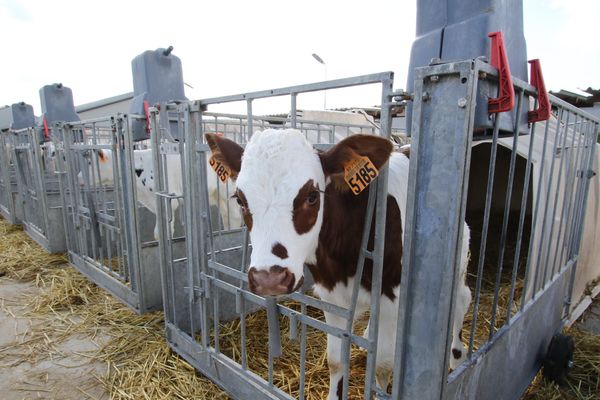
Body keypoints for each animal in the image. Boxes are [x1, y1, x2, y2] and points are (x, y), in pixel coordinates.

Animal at [206, 130, 474, 398]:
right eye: (240, 200)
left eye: (312, 197)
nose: (269, 279)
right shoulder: (330, 295)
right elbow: (336, 360)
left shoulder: (392, 296)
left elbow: (383, 366)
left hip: (460, 256)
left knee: (462, 299)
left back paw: (457, 356)